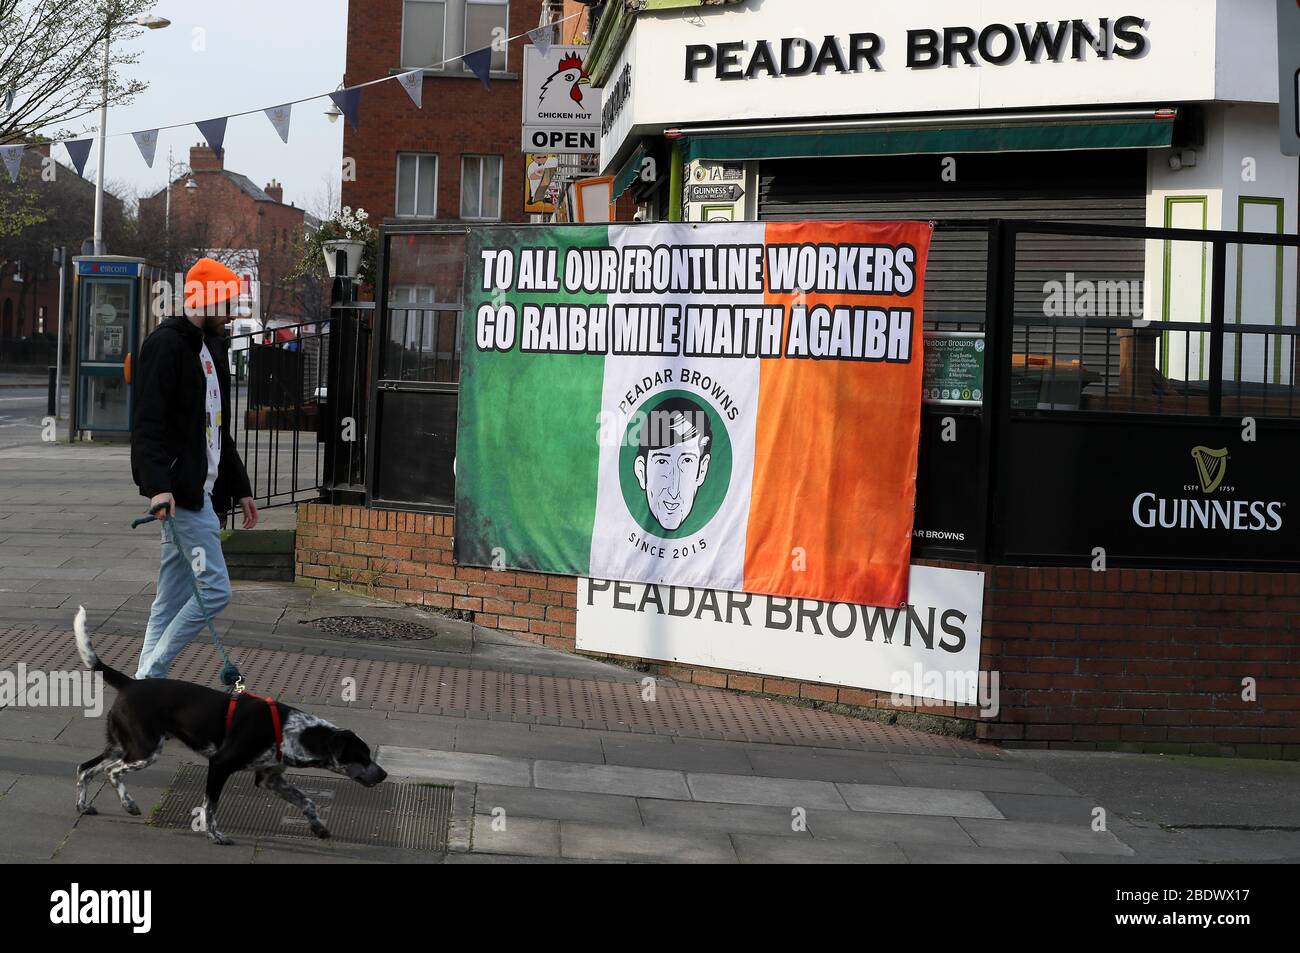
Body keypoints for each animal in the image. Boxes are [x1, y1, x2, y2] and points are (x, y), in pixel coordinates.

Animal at [71, 605, 384, 842]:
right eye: (362, 755)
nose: (383, 775)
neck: (292, 731)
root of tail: (129, 684)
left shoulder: (270, 778)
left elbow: (306, 800)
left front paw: (319, 828)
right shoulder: (220, 765)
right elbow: (211, 806)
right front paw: (215, 836)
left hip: (123, 745)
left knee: (85, 768)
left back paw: (83, 806)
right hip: (144, 750)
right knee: (112, 772)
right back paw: (129, 804)